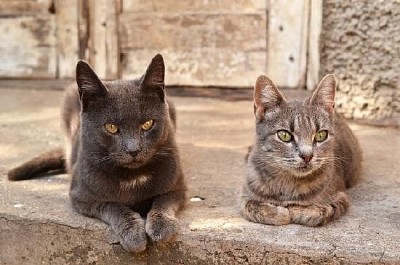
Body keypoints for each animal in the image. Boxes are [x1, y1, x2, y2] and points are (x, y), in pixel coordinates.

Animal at [7, 54, 186, 252]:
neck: (133, 176)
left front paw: (162, 227)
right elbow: (113, 206)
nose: (133, 149)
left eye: (147, 124)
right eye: (111, 127)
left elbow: (163, 201)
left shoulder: (178, 187)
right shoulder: (81, 196)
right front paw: (133, 236)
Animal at [241, 73, 362, 225]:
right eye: (284, 135)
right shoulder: (245, 194)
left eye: (321, 135)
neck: (288, 183)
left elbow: (319, 210)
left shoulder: (340, 197)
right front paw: (279, 213)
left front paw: (295, 210)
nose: (307, 156)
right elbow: (252, 207)